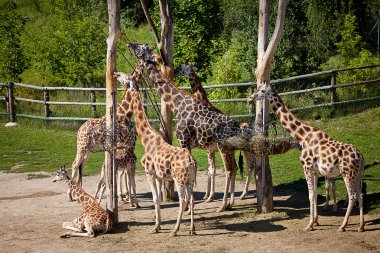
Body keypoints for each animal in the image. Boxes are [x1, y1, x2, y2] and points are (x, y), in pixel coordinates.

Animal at [113, 70, 196, 236]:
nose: (115, 73)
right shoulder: (158, 176)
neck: (146, 139)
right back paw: (192, 229)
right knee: (191, 199)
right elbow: (158, 198)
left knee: (183, 200)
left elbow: (155, 198)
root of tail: (191, 161)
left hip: (179, 179)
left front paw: (155, 227)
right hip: (189, 178)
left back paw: (175, 230)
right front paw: (158, 225)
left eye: (125, 77)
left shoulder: (149, 172)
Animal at [127, 43, 240, 211]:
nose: (129, 44)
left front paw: (188, 205)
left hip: (223, 147)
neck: (177, 105)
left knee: (229, 170)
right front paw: (195, 201)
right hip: (229, 148)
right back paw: (231, 202)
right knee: (234, 169)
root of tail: (236, 126)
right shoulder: (192, 146)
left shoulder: (184, 141)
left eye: (140, 48)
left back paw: (222, 205)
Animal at [174, 61, 256, 200]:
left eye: (181, 67)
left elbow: (212, 170)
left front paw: (210, 196)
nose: (174, 72)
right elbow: (210, 170)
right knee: (249, 165)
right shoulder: (210, 149)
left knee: (249, 165)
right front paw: (207, 195)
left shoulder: (209, 149)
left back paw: (242, 194)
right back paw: (243, 193)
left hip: (244, 149)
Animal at [249, 82, 366, 232]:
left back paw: (342, 226)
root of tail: (361, 156)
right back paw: (361, 226)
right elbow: (314, 194)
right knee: (360, 195)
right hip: (357, 175)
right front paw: (315, 221)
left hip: (348, 174)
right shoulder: (315, 171)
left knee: (352, 196)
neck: (303, 137)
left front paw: (309, 224)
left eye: (262, 91)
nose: (251, 97)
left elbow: (310, 195)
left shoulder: (307, 167)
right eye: (258, 89)